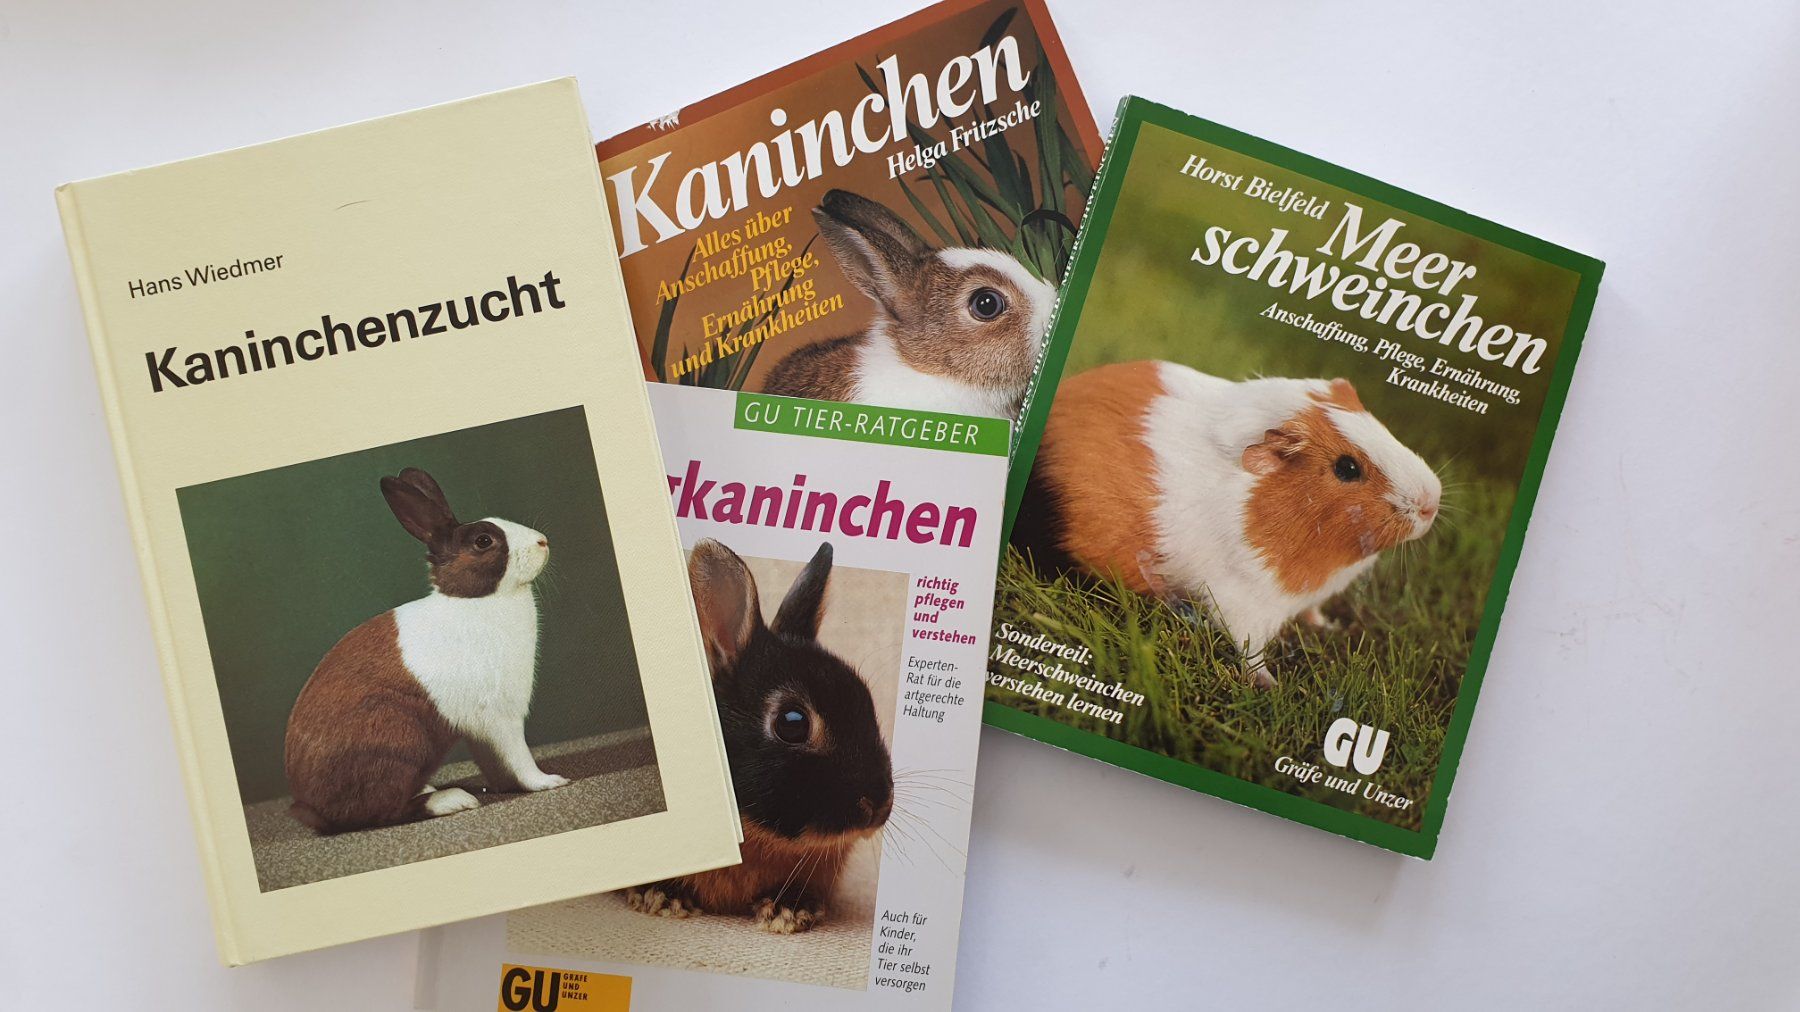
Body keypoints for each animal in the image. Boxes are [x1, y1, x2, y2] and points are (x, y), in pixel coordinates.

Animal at [283, 466, 567, 833]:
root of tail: (311, 809)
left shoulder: (481, 729)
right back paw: (450, 799)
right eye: (483, 541)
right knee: (380, 811)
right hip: (398, 739)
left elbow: (495, 760)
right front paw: (548, 781)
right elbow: (518, 756)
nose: (542, 541)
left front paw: (504, 786)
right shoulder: (500, 715)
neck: (474, 600)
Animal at [1013, 362, 1442, 687]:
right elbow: (1250, 649)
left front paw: (1332, 627)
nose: (1430, 503)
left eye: (1380, 426)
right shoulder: (1242, 601)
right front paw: (1270, 686)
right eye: (1347, 468)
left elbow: (1313, 613)